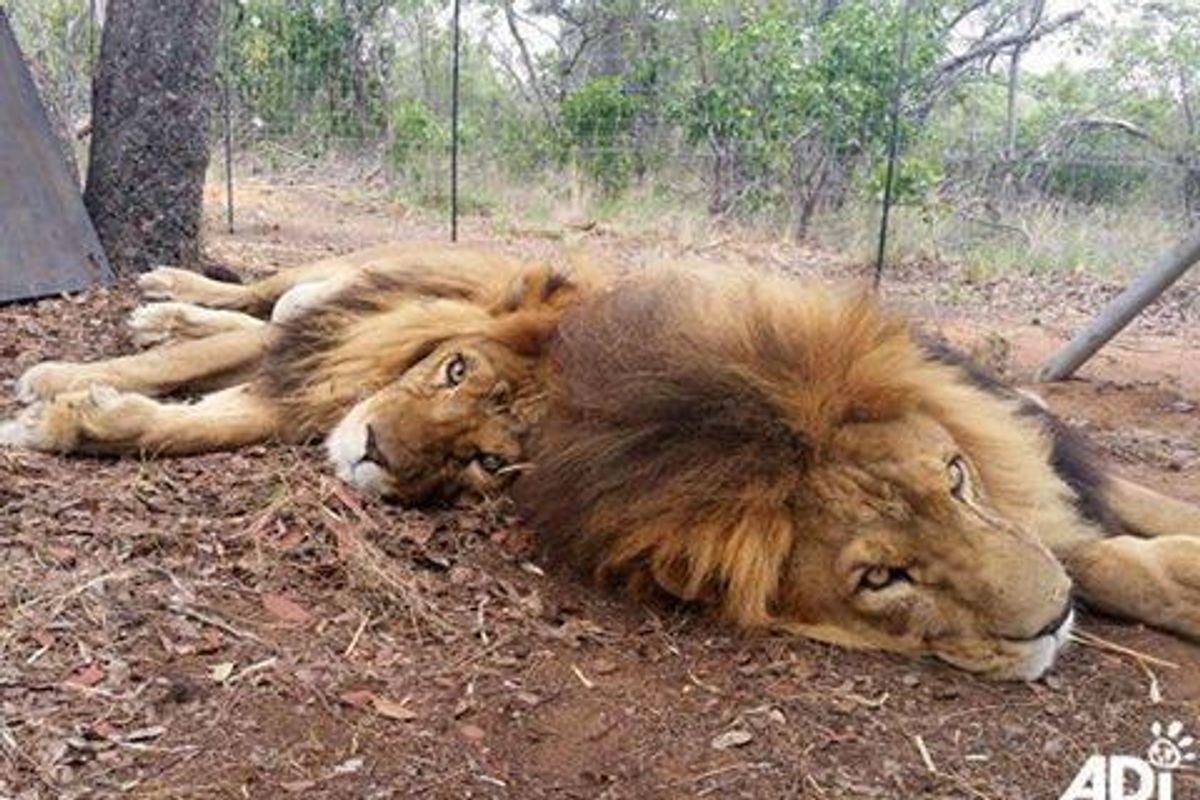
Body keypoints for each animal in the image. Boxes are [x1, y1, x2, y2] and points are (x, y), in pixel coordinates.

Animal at [2, 243, 589, 505]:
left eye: (488, 462)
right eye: (456, 368)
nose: (373, 451)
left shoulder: (302, 390)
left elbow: (199, 426)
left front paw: (64, 423)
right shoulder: (319, 341)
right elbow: (173, 364)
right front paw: (52, 379)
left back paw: (164, 320)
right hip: (337, 275)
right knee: (262, 296)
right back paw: (167, 290)